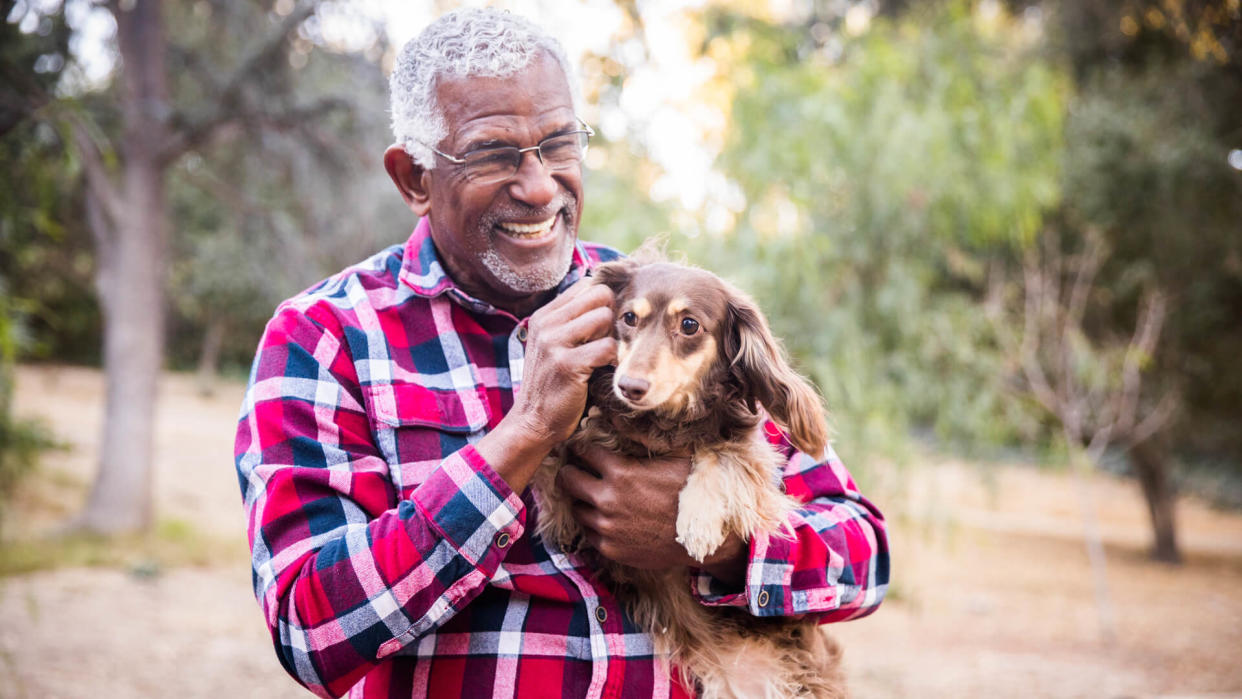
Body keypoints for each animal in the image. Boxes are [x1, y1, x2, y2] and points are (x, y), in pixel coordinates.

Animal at [529, 257, 849, 699]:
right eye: (628, 318)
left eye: (690, 325)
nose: (629, 386)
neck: (660, 424)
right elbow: (558, 456)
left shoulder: (755, 465)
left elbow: (718, 456)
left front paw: (698, 523)